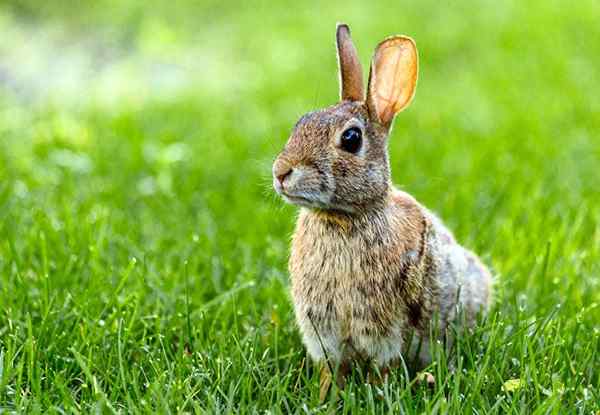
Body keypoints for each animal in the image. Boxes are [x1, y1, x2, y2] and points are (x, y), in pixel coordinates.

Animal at [272, 23, 492, 396]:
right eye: (300, 123)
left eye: (351, 139)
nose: (280, 172)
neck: (344, 218)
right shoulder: (322, 329)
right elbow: (331, 370)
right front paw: (325, 398)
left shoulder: (383, 328)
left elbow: (382, 367)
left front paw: (376, 393)